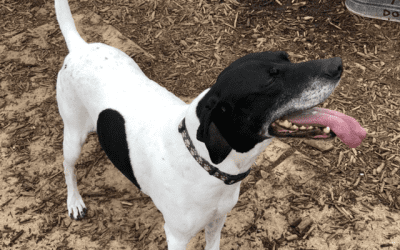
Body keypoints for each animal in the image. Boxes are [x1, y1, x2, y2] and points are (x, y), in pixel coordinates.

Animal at [54, 0, 368, 249]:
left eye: (287, 58)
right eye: (271, 79)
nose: (337, 64)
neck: (206, 163)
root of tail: (80, 47)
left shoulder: (218, 220)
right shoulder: (177, 237)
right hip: (73, 136)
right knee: (68, 167)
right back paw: (74, 202)